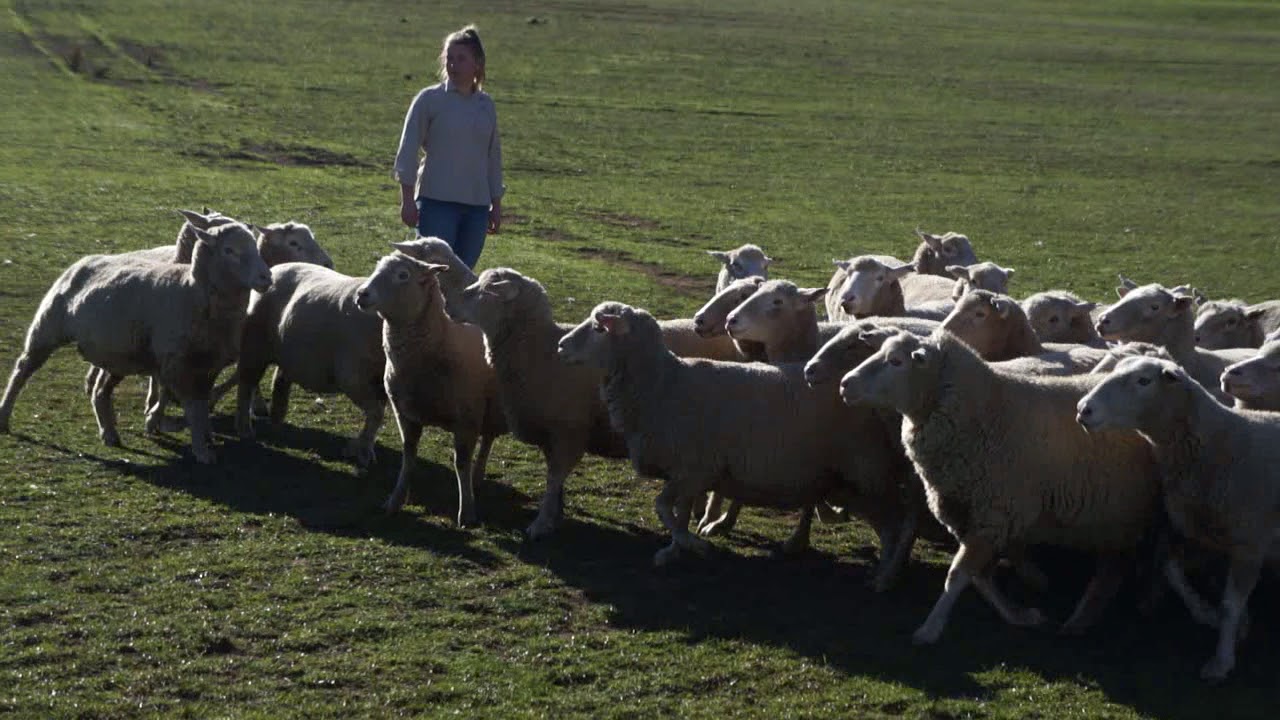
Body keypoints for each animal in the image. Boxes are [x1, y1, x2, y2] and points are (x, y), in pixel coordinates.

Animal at [0, 222, 271, 463]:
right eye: (229, 250)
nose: (266, 277)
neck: (192, 290)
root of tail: (85, 260)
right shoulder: (178, 363)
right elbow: (192, 408)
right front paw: (200, 449)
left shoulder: (209, 365)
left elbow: (202, 406)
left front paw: (206, 437)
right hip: (47, 329)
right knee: (22, 370)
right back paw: (4, 416)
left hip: (119, 353)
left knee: (101, 391)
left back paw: (109, 433)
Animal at [353, 253, 505, 525]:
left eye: (403, 275)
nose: (362, 294)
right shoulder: (405, 415)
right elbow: (408, 458)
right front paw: (395, 500)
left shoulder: (466, 420)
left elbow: (461, 464)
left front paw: (467, 513)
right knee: (488, 438)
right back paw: (478, 476)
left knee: (488, 439)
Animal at [557, 301, 918, 588]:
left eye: (597, 328)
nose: (560, 346)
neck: (662, 385)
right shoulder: (689, 472)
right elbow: (680, 512)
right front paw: (675, 550)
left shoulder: (694, 467)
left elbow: (662, 507)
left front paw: (693, 545)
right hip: (851, 479)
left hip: (867, 471)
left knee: (895, 526)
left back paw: (884, 577)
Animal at [838, 330, 1160, 643]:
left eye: (896, 361)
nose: (844, 384)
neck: (987, 408)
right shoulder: (965, 512)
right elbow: (979, 577)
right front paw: (1018, 614)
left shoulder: (994, 512)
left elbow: (958, 575)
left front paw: (930, 629)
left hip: (1125, 511)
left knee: (1113, 570)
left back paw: (1083, 618)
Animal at [1076, 356, 1280, 681]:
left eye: (1144, 381)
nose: (1084, 409)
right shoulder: (1199, 531)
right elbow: (1172, 570)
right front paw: (1211, 616)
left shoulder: (1250, 541)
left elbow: (1230, 604)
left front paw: (1221, 661)